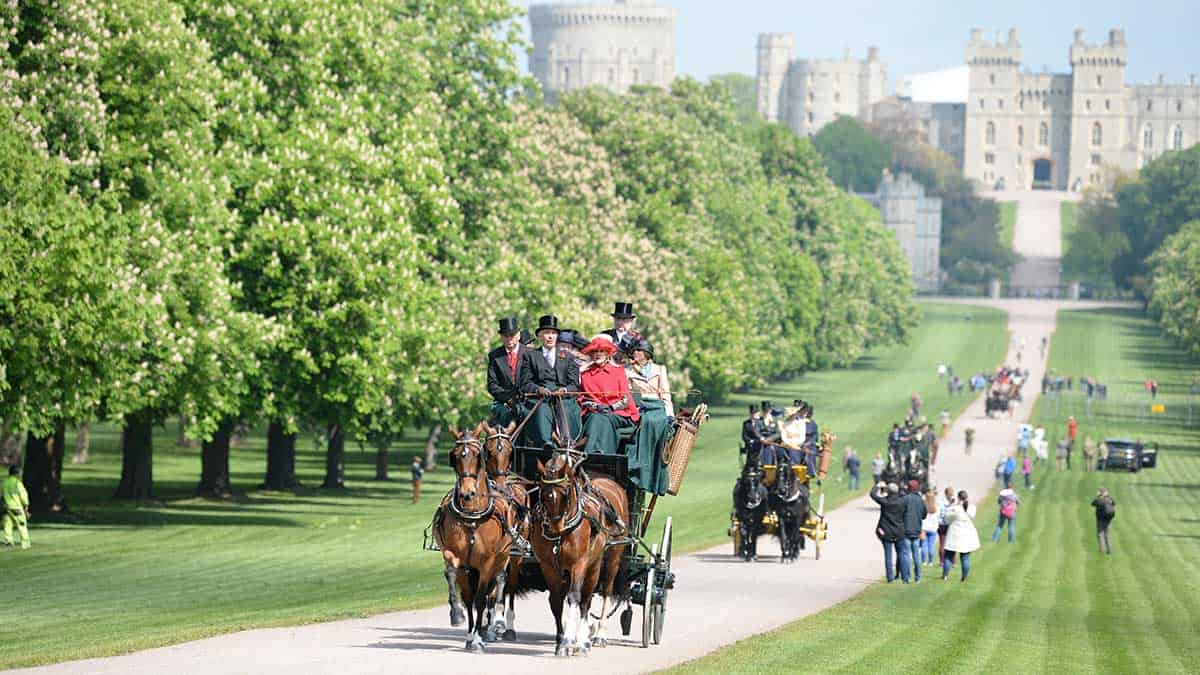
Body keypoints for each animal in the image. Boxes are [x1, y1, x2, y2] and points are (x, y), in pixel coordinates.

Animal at [439, 422, 518, 648]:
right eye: (455, 455)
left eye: (477, 455)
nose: (467, 493)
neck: (472, 515)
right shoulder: (457, 556)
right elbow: (460, 587)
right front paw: (458, 616)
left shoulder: (487, 561)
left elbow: (481, 598)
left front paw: (477, 639)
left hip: (506, 557)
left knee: (501, 583)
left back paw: (499, 624)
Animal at [532, 449, 628, 653]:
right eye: (543, 492)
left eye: (565, 491)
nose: (555, 526)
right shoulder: (548, 567)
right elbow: (556, 600)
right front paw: (560, 640)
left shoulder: (579, 563)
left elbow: (575, 597)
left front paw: (569, 640)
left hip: (606, 560)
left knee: (597, 594)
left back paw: (594, 636)